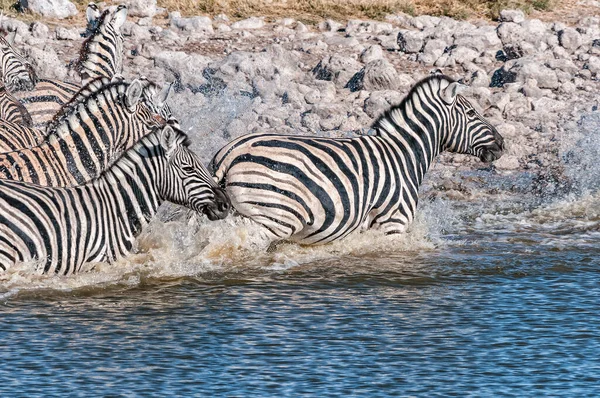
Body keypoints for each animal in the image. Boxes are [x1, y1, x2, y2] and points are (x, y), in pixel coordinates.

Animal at [211, 73, 506, 244]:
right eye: (471, 113)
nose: (502, 144)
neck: (405, 154)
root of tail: (229, 154)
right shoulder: (393, 223)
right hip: (275, 217)